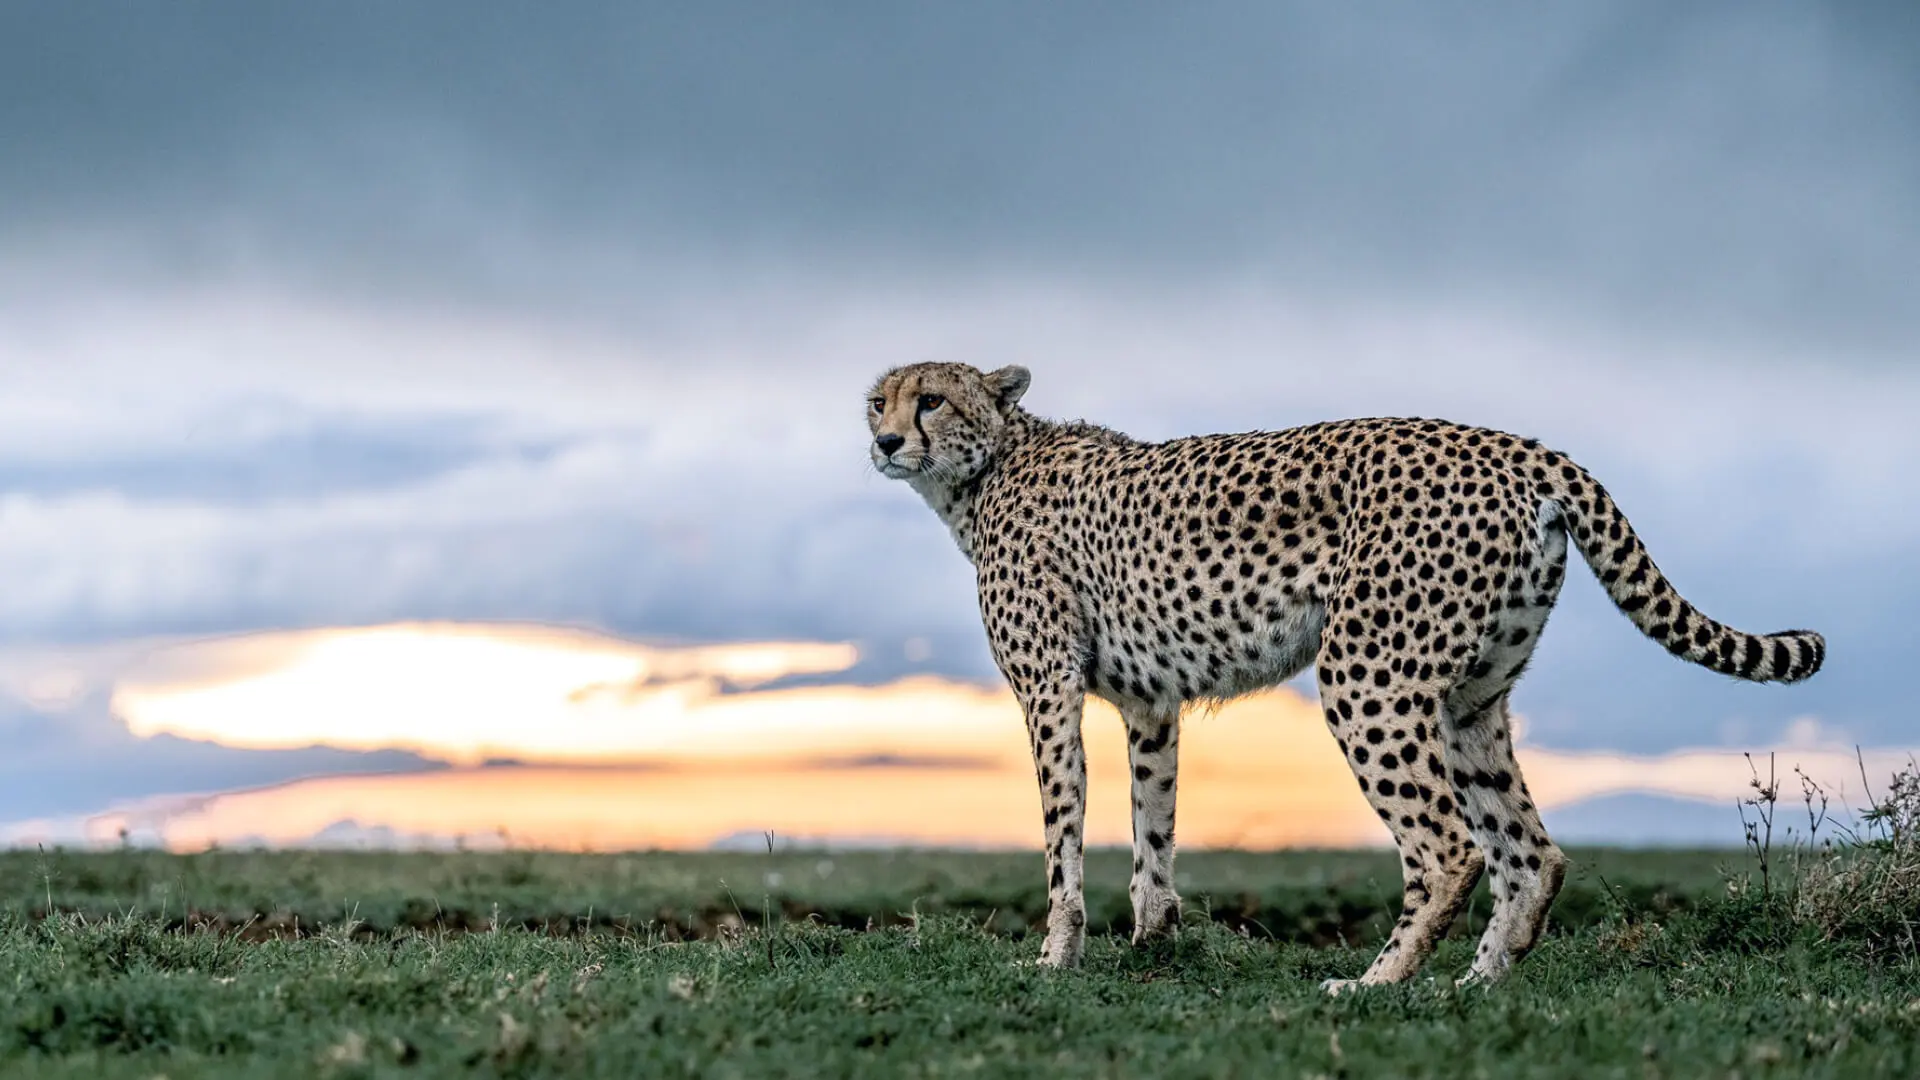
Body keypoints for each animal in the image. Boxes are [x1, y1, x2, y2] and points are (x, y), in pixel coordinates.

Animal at [865, 361, 1824, 990]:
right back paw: (1477, 983)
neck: (987, 470)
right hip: (1471, 698)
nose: (882, 440)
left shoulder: (1047, 694)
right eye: (879, 399)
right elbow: (1153, 826)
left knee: (1450, 850)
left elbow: (1063, 833)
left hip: (1367, 677)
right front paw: (1154, 943)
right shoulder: (1151, 703)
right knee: (1531, 853)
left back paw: (1377, 984)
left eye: (932, 399)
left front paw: (1056, 957)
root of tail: (1515, 446)